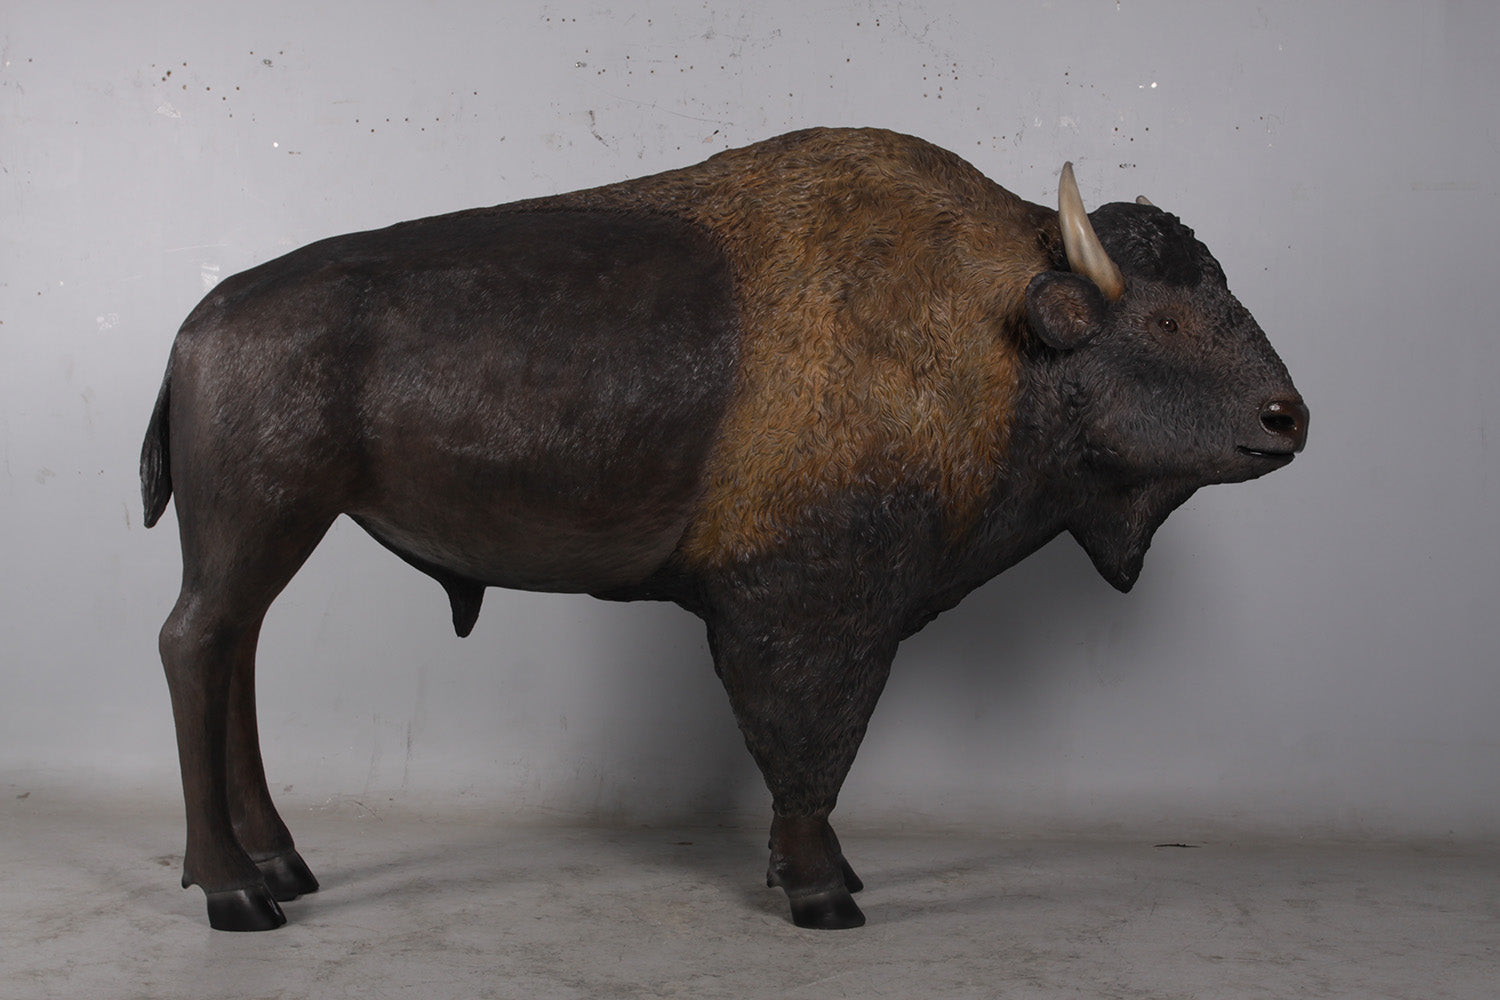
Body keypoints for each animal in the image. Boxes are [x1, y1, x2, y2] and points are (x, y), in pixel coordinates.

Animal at [141, 127, 1306, 931]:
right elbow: (808, 752)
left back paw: (283, 867)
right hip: (264, 519)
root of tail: (199, 324)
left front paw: (832, 879)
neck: (997, 327)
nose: (1287, 418)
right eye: (1163, 320)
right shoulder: (811, 610)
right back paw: (237, 896)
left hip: (270, 531)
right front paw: (826, 895)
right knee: (195, 645)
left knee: (233, 649)